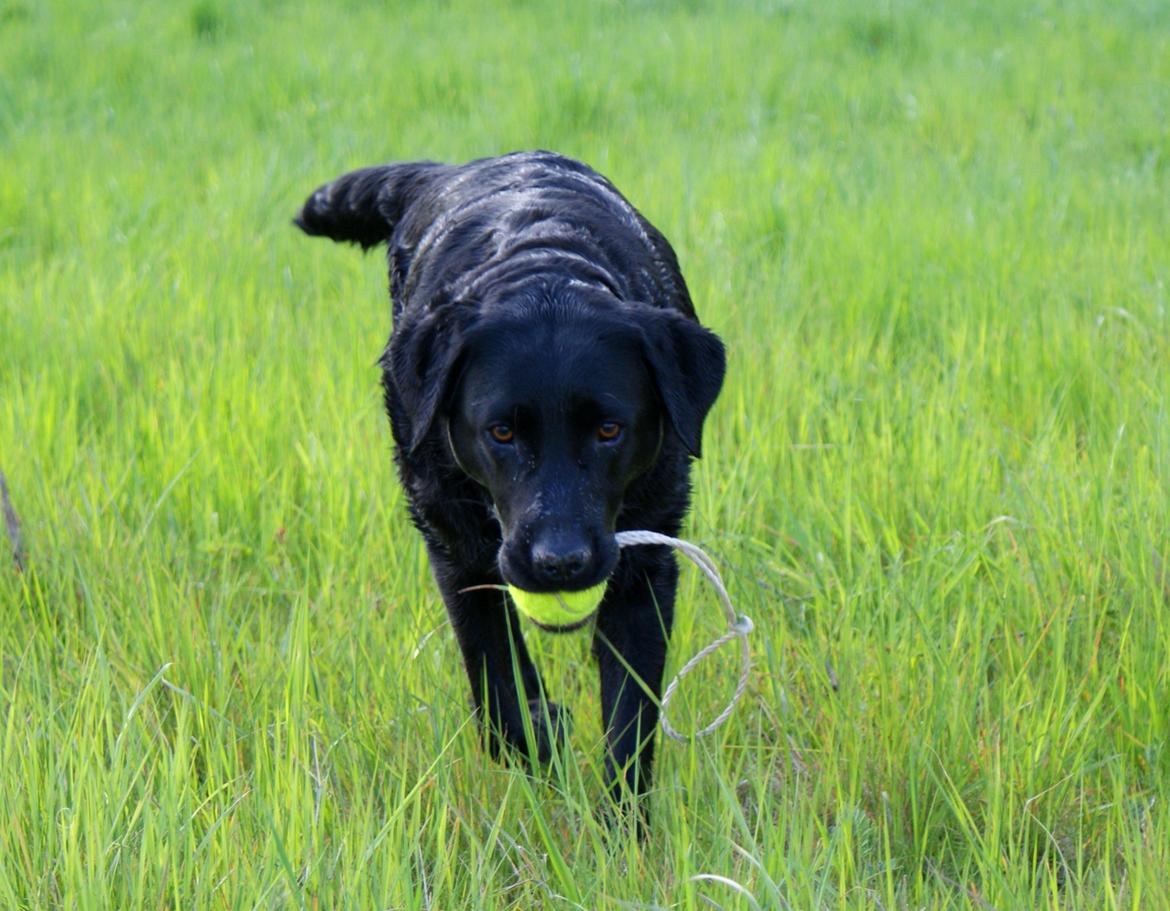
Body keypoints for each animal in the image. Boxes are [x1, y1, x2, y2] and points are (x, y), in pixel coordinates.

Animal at [294, 149, 720, 818]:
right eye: (501, 432)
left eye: (609, 429)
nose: (560, 562)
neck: (545, 274)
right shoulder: (457, 551)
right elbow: (497, 686)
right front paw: (541, 728)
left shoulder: (644, 568)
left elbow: (630, 723)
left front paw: (623, 830)